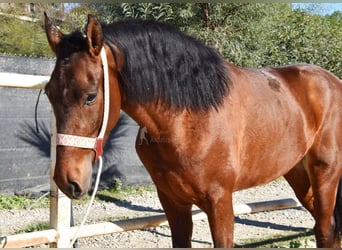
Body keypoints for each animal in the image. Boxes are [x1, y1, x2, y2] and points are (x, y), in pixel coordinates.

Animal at [44, 13, 340, 248]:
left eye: (91, 96)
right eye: (48, 93)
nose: (67, 180)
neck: (188, 121)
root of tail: (332, 81)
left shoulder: (220, 202)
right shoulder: (173, 202)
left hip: (325, 173)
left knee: (325, 231)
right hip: (298, 175)